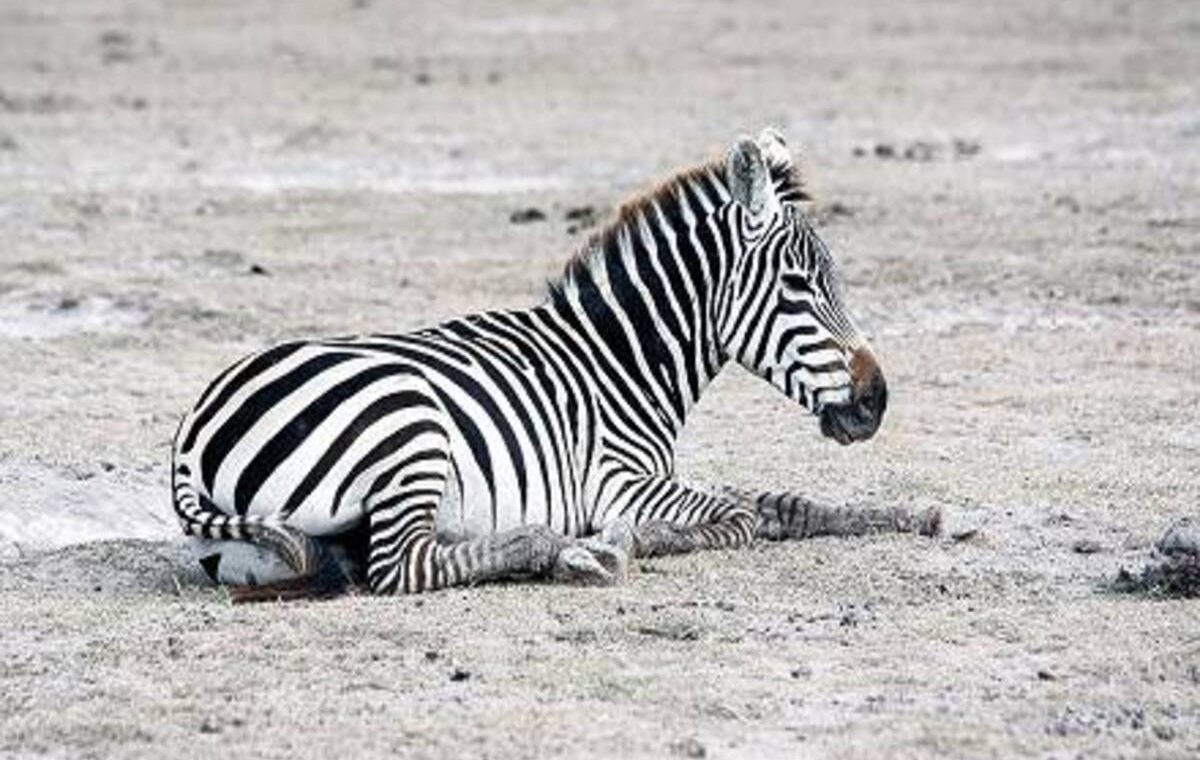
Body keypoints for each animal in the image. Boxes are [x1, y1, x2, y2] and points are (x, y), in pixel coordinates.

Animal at [171, 129, 939, 600]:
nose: (876, 402)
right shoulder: (618, 482)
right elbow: (739, 518)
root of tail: (192, 431)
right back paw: (567, 552)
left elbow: (783, 503)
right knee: (403, 565)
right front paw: (624, 540)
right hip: (408, 423)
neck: (621, 361)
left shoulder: (656, 476)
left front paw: (914, 514)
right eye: (798, 287)